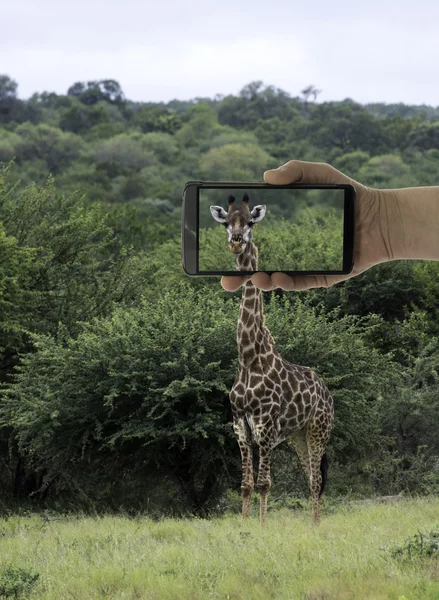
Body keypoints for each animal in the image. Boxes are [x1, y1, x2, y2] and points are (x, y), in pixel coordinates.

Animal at [211, 192, 336, 524]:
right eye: (226, 223)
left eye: (250, 222)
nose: (236, 243)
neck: (248, 358)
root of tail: (327, 391)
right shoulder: (240, 425)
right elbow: (245, 484)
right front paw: (244, 525)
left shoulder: (266, 424)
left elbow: (264, 483)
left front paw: (263, 527)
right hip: (298, 436)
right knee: (311, 477)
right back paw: (312, 526)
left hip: (319, 429)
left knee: (316, 479)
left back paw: (315, 526)